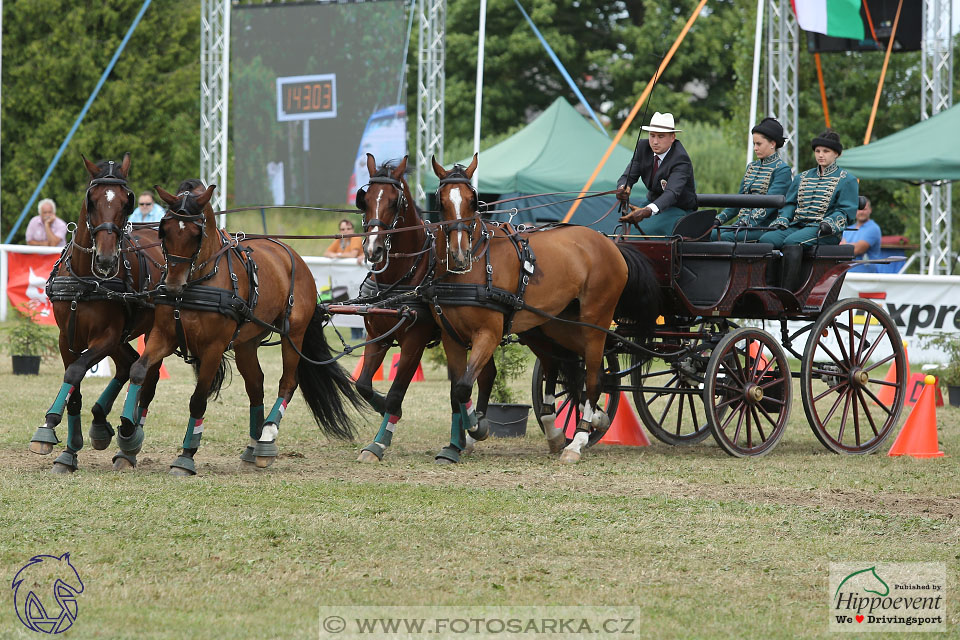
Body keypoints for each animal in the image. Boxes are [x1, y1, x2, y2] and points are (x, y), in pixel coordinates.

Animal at [28, 154, 165, 476]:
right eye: (91, 200)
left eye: (127, 202)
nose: (105, 259)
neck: (86, 279)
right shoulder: (67, 338)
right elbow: (74, 391)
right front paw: (68, 451)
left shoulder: (106, 336)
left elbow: (77, 371)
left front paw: (49, 426)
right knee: (127, 365)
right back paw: (102, 421)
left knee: (146, 375)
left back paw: (128, 441)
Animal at [125, 180, 362, 476]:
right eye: (164, 230)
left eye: (196, 233)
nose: (172, 287)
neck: (197, 283)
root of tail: (294, 256)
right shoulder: (163, 336)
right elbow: (139, 372)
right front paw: (128, 435)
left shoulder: (213, 349)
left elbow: (198, 399)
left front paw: (186, 456)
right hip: (247, 343)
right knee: (256, 385)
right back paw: (253, 444)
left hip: (293, 334)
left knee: (287, 383)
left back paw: (267, 438)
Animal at [354, 155, 496, 464]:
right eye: (365, 199)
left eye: (394, 201)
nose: (374, 250)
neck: (400, 274)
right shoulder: (378, 336)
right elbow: (363, 385)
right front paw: (380, 405)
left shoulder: (414, 342)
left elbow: (397, 392)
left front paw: (379, 442)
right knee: (482, 375)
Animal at [434, 155, 660, 464]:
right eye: (441, 201)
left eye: (473, 200)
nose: (458, 254)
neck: (475, 268)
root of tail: (609, 243)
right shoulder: (451, 337)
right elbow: (457, 389)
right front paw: (456, 442)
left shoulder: (488, 334)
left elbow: (466, 385)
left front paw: (476, 429)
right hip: (557, 324)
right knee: (573, 369)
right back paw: (580, 423)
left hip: (596, 320)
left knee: (592, 375)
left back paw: (577, 440)